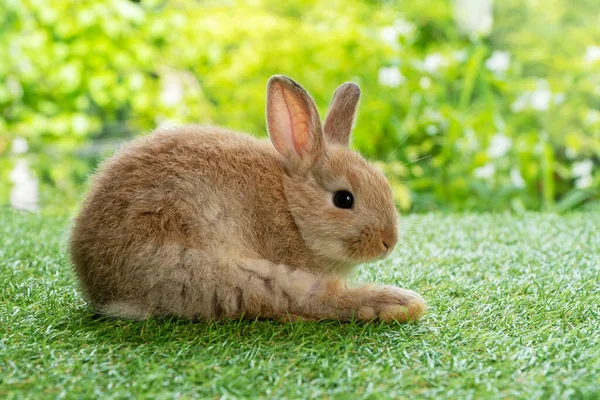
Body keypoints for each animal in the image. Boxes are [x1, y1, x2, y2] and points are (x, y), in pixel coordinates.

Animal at [70, 76, 426, 324]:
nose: (388, 242)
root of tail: (105, 291)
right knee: (301, 301)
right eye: (343, 198)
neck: (291, 205)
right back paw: (399, 303)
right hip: (220, 274)